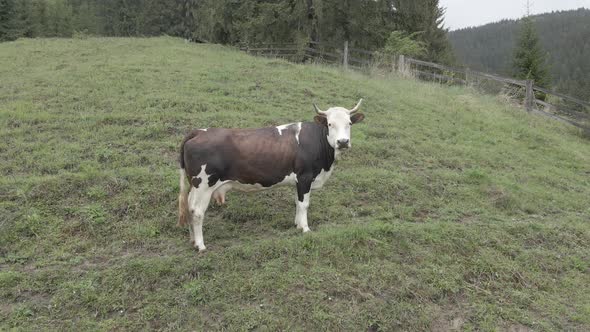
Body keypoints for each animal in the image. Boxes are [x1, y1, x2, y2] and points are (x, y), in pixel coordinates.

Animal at [177, 98, 366, 249]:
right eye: (330, 124)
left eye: (349, 123)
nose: (343, 142)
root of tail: (199, 131)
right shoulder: (305, 177)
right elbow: (304, 204)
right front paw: (305, 229)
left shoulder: (298, 181)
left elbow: (297, 203)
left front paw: (298, 225)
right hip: (203, 184)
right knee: (197, 211)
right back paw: (201, 245)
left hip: (194, 185)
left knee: (188, 206)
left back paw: (193, 240)